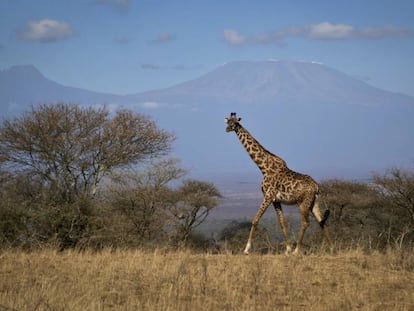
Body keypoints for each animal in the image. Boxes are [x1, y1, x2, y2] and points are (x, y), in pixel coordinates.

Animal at [225, 113, 332, 255]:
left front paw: (246, 249)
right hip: (314, 203)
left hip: (303, 203)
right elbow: (282, 223)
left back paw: (297, 250)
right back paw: (330, 248)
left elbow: (255, 220)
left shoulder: (268, 196)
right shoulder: (276, 200)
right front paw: (287, 249)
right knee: (322, 221)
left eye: (235, 123)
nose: (227, 129)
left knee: (305, 222)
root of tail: (316, 187)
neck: (263, 167)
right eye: (228, 121)